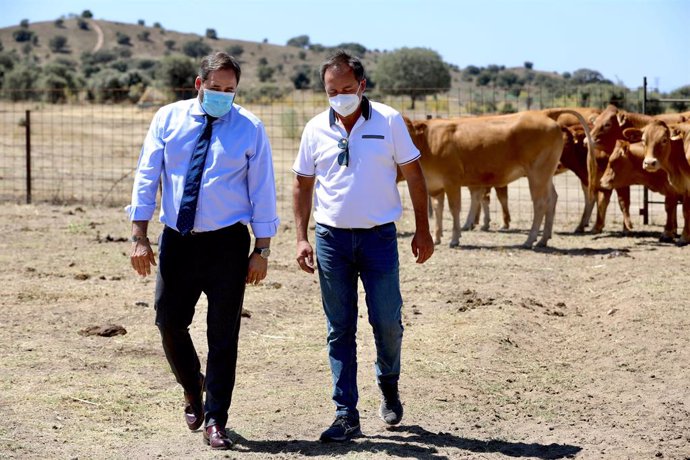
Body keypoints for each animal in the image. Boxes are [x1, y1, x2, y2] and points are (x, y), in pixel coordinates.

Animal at [404, 110, 592, 248]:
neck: (428, 142)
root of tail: (544, 115)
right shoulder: (435, 186)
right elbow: (437, 210)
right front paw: (436, 238)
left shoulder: (452, 181)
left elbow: (454, 209)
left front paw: (455, 238)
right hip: (545, 175)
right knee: (552, 199)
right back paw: (543, 239)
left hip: (537, 174)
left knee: (540, 203)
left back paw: (529, 240)